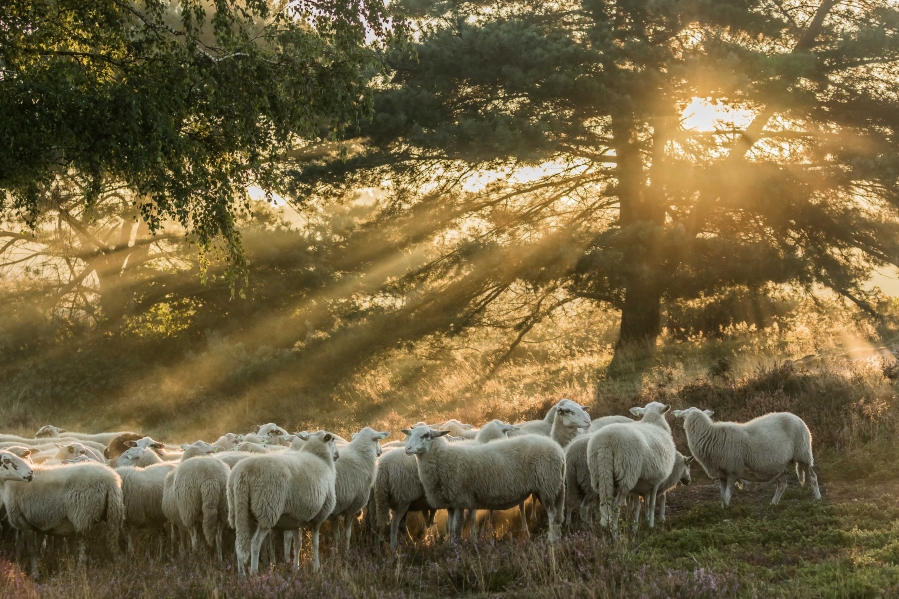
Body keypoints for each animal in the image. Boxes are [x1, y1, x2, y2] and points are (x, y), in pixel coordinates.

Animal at [227, 428, 340, 576]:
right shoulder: (319, 517)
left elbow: (298, 543)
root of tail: (242, 473)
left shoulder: (296, 519)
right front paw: (317, 568)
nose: (337, 455)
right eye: (332, 439)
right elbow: (315, 543)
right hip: (267, 510)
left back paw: (242, 574)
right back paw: (254, 573)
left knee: (238, 542)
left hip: (240, 510)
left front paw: (296, 567)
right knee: (255, 543)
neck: (321, 458)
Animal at [404, 426, 568, 544]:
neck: (444, 457)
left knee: (552, 514)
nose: (407, 449)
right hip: (550, 487)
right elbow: (451, 528)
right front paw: (450, 546)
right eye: (410, 434)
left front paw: (456, 548)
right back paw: (557, 538)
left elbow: (456, 529)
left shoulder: (460, 499)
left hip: (547, 485)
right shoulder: (451, 502)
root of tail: (558, 450)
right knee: (557, 517)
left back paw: (551, 540)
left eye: (426, 435)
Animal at [592, 400, 676, 536]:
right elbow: (652, 504)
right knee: (615, 506)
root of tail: (607, 441)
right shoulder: (657, 480)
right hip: (626, 475)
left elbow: (639, 506)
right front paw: (651, 525)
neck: (653, 422)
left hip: (599, 474)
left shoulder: (639, 485)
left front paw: (636, 526)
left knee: (604, 503)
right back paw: (614, 533)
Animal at [676, 408, 824, 506]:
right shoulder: (722, 474)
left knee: (813, 477)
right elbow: (722, 495)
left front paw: (727, 510)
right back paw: (773, 503)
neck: (711, 435)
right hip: (779, 465)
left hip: (803, 454)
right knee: (782, 484)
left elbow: (727, 494)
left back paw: (817, 498)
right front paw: (723, 509)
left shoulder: (732, 470)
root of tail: (796, 416)